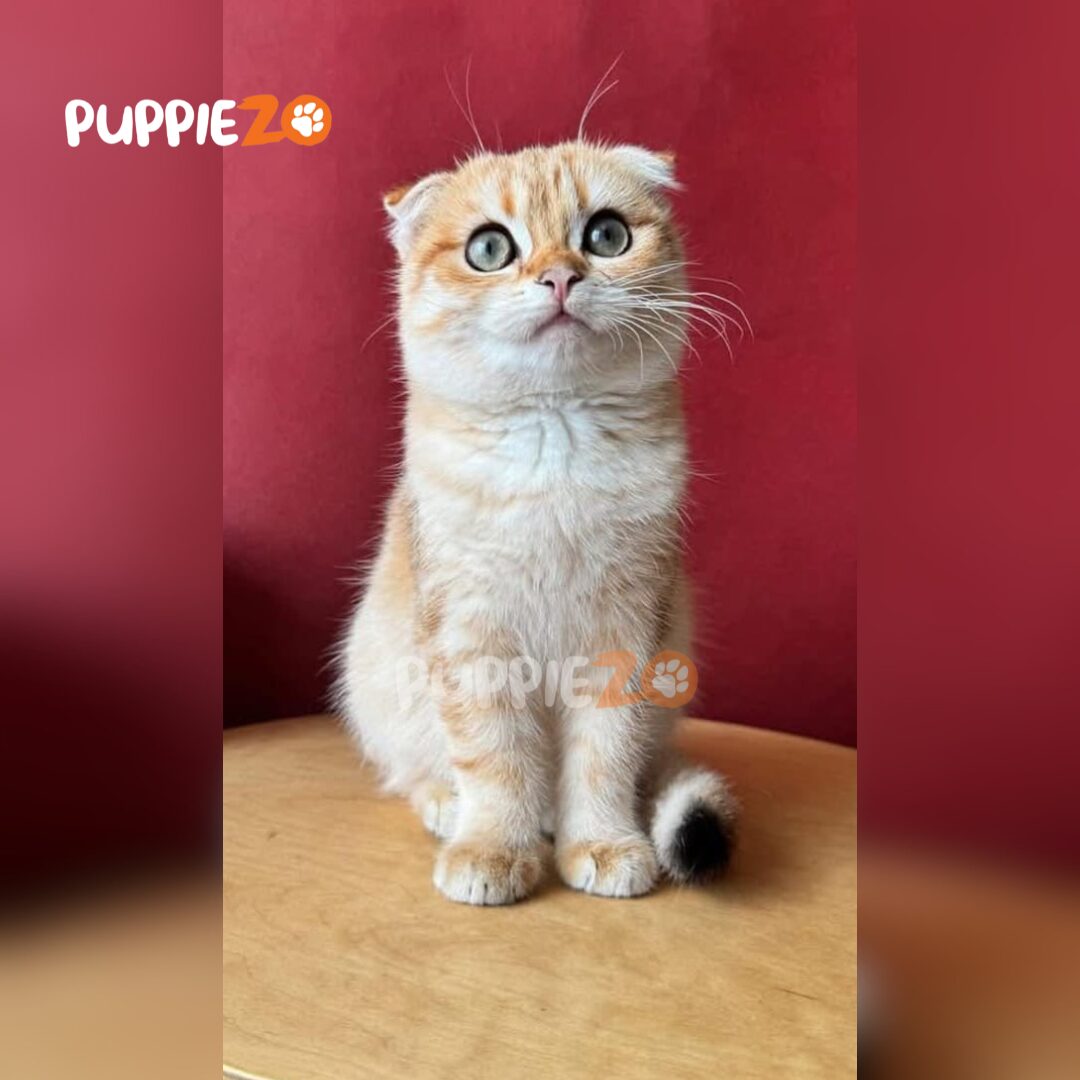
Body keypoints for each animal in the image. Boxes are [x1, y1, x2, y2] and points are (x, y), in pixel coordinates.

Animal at [336, 141, 738, 905]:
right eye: (490, 248)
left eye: (606, 235)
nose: (559, 276)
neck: (555, 434)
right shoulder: (470, 631)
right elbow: (494, 756)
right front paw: (493, 849)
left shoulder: (626, 629)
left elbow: (606, 752)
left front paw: (604, 844)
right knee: (415, 768)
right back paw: (447, 804)